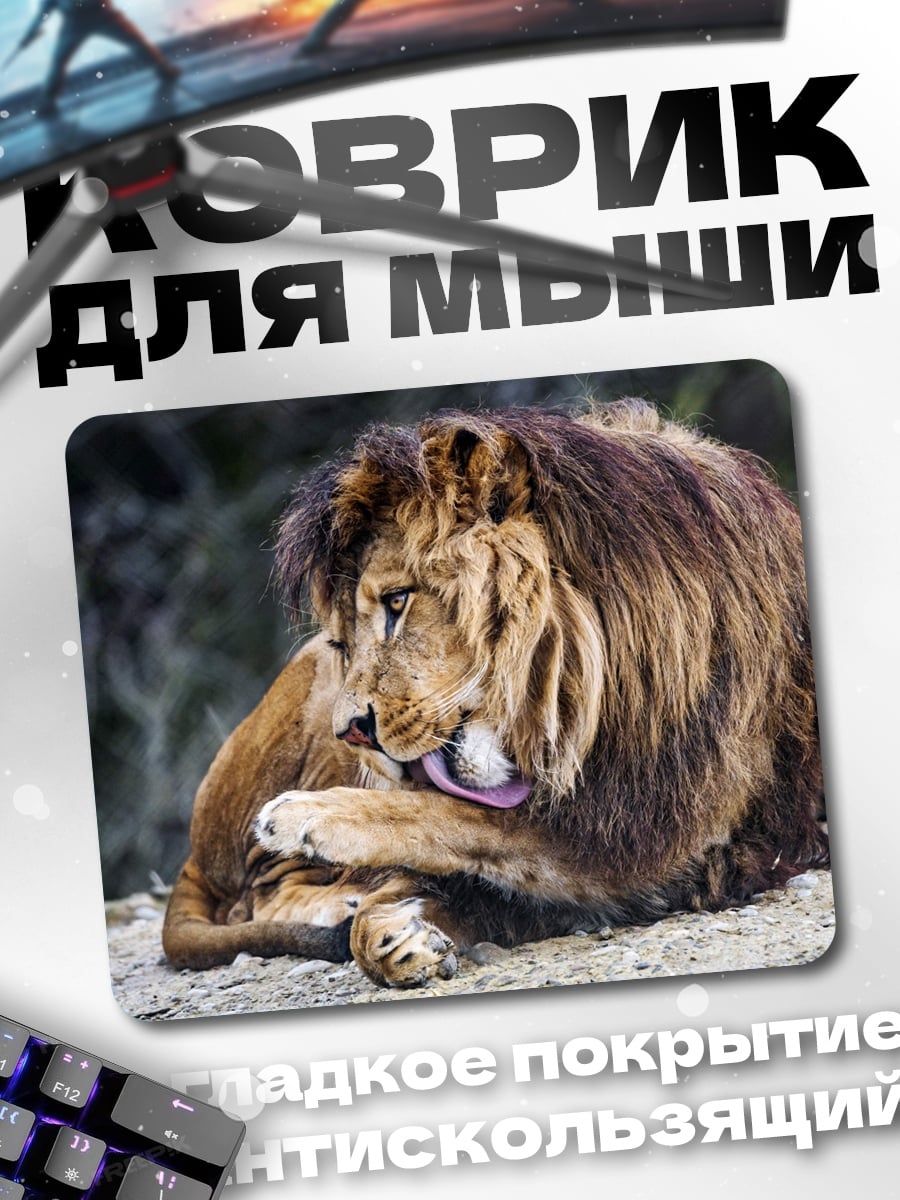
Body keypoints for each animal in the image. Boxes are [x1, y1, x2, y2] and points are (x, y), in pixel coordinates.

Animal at [162, 399, 828, 988]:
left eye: (398, 602)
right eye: (341, 641)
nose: (350, 731)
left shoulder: (652, 830)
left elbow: (457, 820)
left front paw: (315, 822)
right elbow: (449, 828)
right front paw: (387, 925)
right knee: (258, 896)